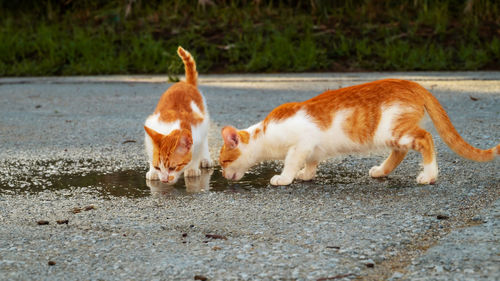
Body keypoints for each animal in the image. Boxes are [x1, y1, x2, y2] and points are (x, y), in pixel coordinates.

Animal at [144, 46, 212, 184]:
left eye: (172, 168)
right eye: (158, 167)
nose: (164, 180)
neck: (172, 125)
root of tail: (186, 83)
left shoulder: (199, 128)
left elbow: (195, 153)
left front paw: (192, 169)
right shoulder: (151, 125)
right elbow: (150, 151)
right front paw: (152, 171)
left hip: (205, 117)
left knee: (205, 141)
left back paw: (205, 159)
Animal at [220, 77, 500, 185]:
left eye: (222, 161)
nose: (221, 175)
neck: (265, 134)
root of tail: (412, 82)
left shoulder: (301, 143)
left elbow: (291, 161)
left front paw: (284, 177)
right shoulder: (312, 147)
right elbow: (311, 161)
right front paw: (306, 174)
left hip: (393, 129)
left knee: (426, 138)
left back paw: (429, 175)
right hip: (391, 134)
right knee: (400, 152)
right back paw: (381, 171)